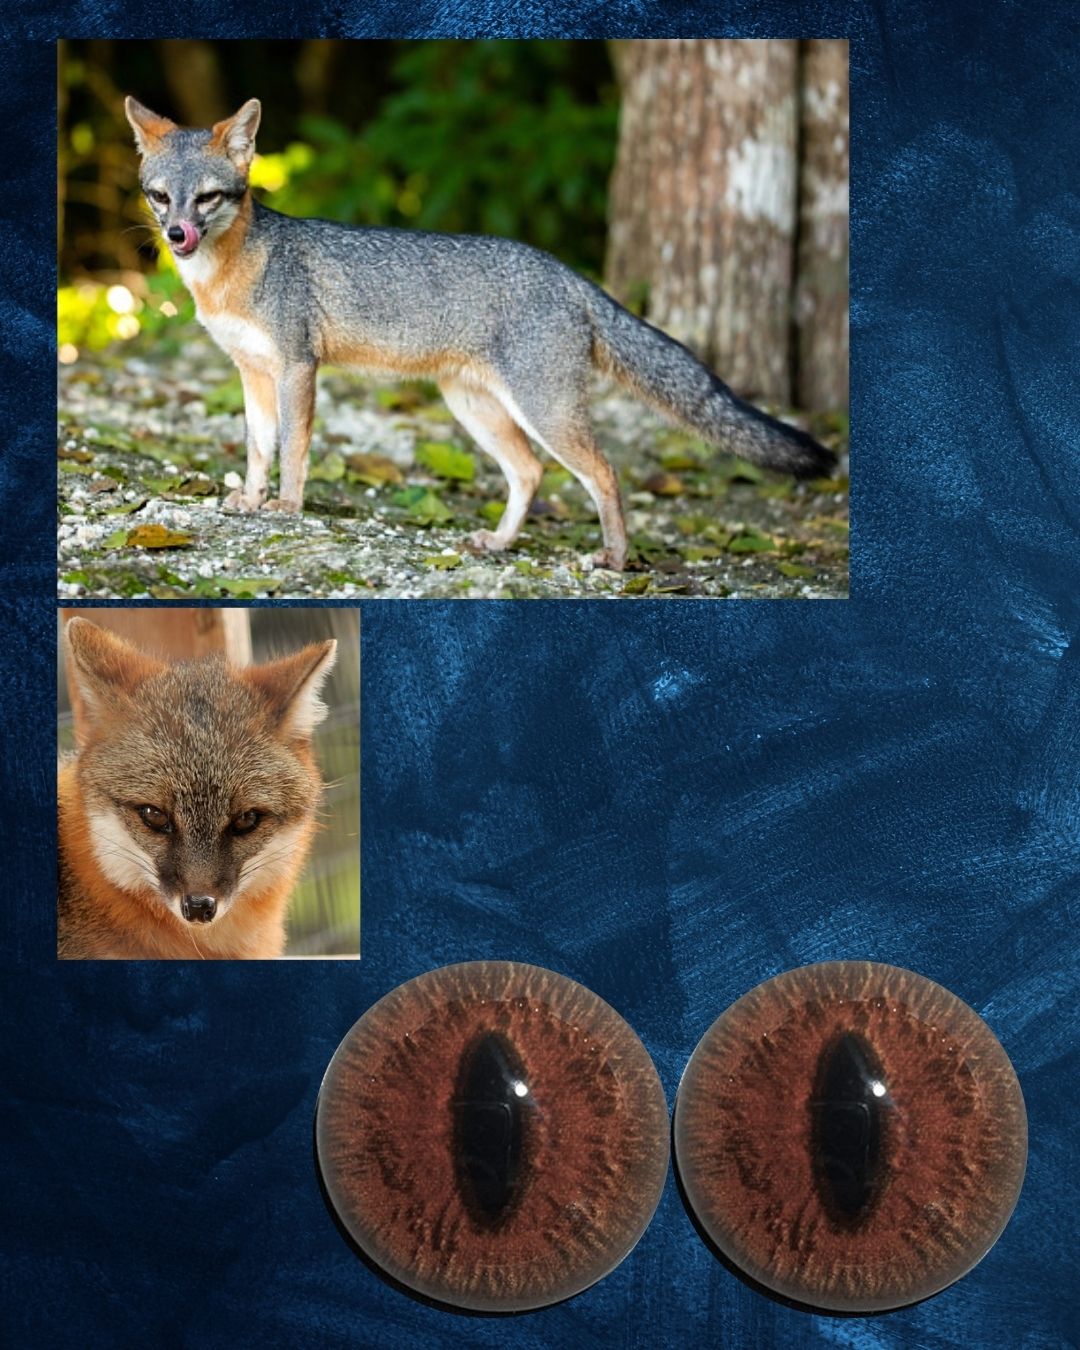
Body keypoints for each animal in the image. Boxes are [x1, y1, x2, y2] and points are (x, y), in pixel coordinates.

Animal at [125, 96, 835, 572]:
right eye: (161, 197)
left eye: (209, 198)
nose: (177, 236)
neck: (231, 273)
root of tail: (566, 273)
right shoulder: (252, 372)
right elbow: (257, 448)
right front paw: (250, 499)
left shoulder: (298, 366)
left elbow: (294, 451)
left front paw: (289, 507)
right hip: (475, 409)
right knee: (529, 473)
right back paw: (500, 542)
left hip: (545, 410)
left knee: (604, 473)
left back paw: (613, 557)